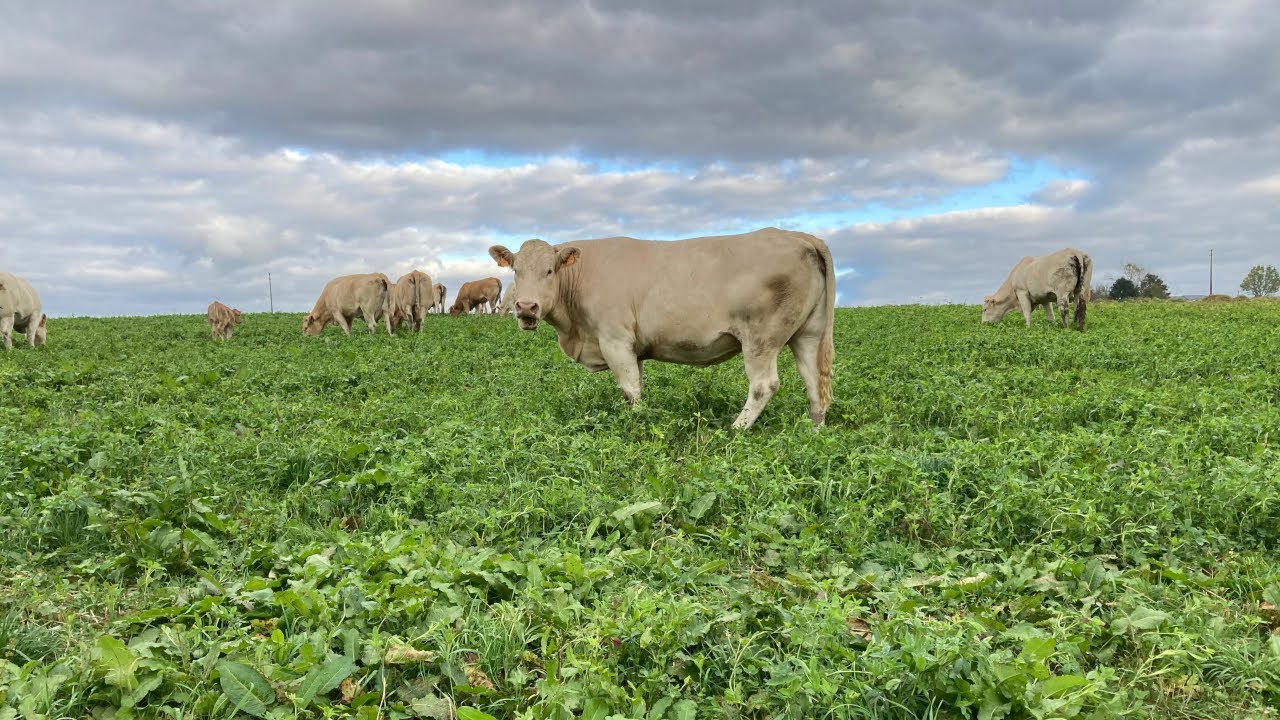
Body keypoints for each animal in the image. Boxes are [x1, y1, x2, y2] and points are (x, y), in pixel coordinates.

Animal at [489, 227, 835, 429]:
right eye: (516, 270)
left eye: (549, 270)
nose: (526, 308)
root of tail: (802, 237)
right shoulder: (633, 349)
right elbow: (638, 386)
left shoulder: (614, 340)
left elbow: (630, 390)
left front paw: (638, 425)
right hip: (808, 333)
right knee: (814, 380)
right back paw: (813, 430)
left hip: (760, 338)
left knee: (764, 385)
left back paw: (735, 429)